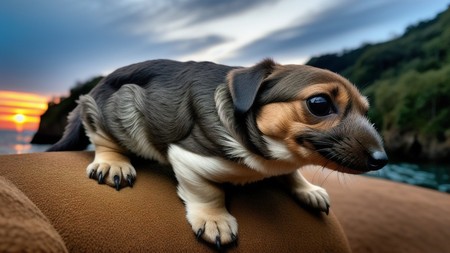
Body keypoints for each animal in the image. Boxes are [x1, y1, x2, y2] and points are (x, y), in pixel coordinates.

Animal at [48, 58, 386, 249]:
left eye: (366, 111)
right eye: (319, 104)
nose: (382, 160)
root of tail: (98, 87)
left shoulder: (285, 161)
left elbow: (292, 171)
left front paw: (307, 188)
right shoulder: (188, 156)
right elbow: (207, 191)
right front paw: (214, 220)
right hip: (116, 108)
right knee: (102, 136)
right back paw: (113, 163)